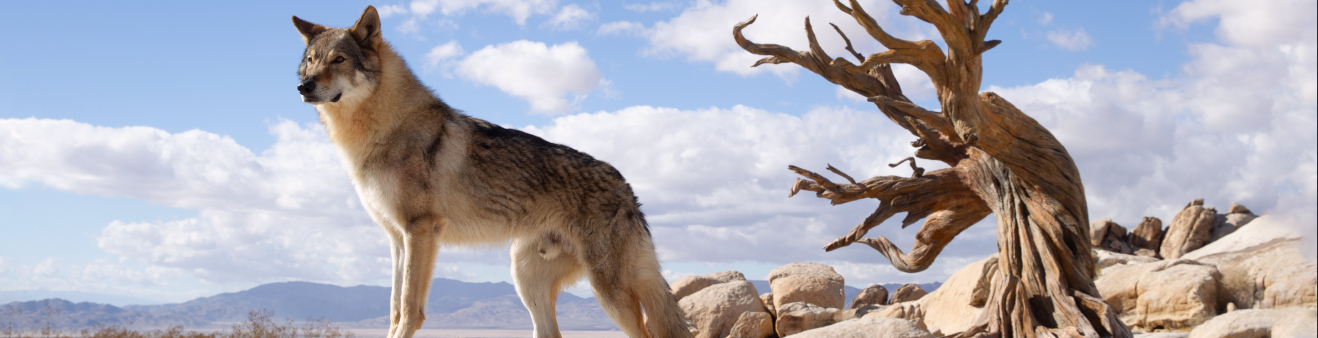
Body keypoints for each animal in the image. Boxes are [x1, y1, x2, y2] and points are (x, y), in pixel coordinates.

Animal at [293, 5, 695, 338]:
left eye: (339, 59)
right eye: (310, 61)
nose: (302, 86)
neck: (381, 130)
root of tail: (628, 188)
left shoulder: (420, 231)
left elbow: (408, 310)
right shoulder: (397, 239)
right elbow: (393, 309)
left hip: (608, 293)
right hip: (527, 280)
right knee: (552, 333)